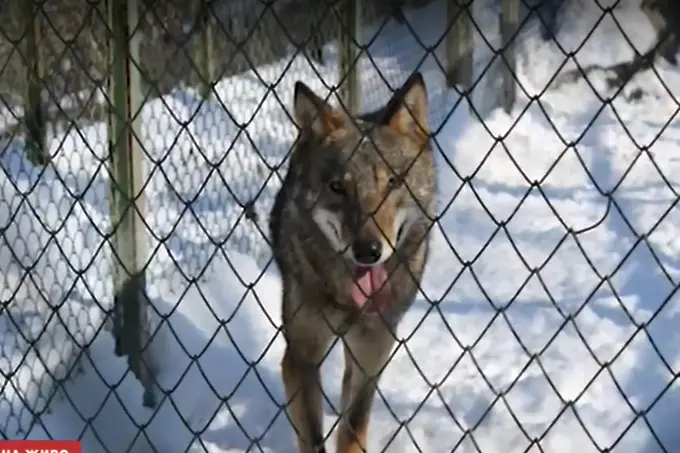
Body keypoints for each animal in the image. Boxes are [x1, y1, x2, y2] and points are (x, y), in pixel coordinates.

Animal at [268, 72, 438, 450]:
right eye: (337, 187)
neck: (348, 298)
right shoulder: (301, 355)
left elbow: (353, 429)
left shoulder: (373, 350)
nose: (368, 251)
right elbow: (312, 439)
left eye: (393, 182)